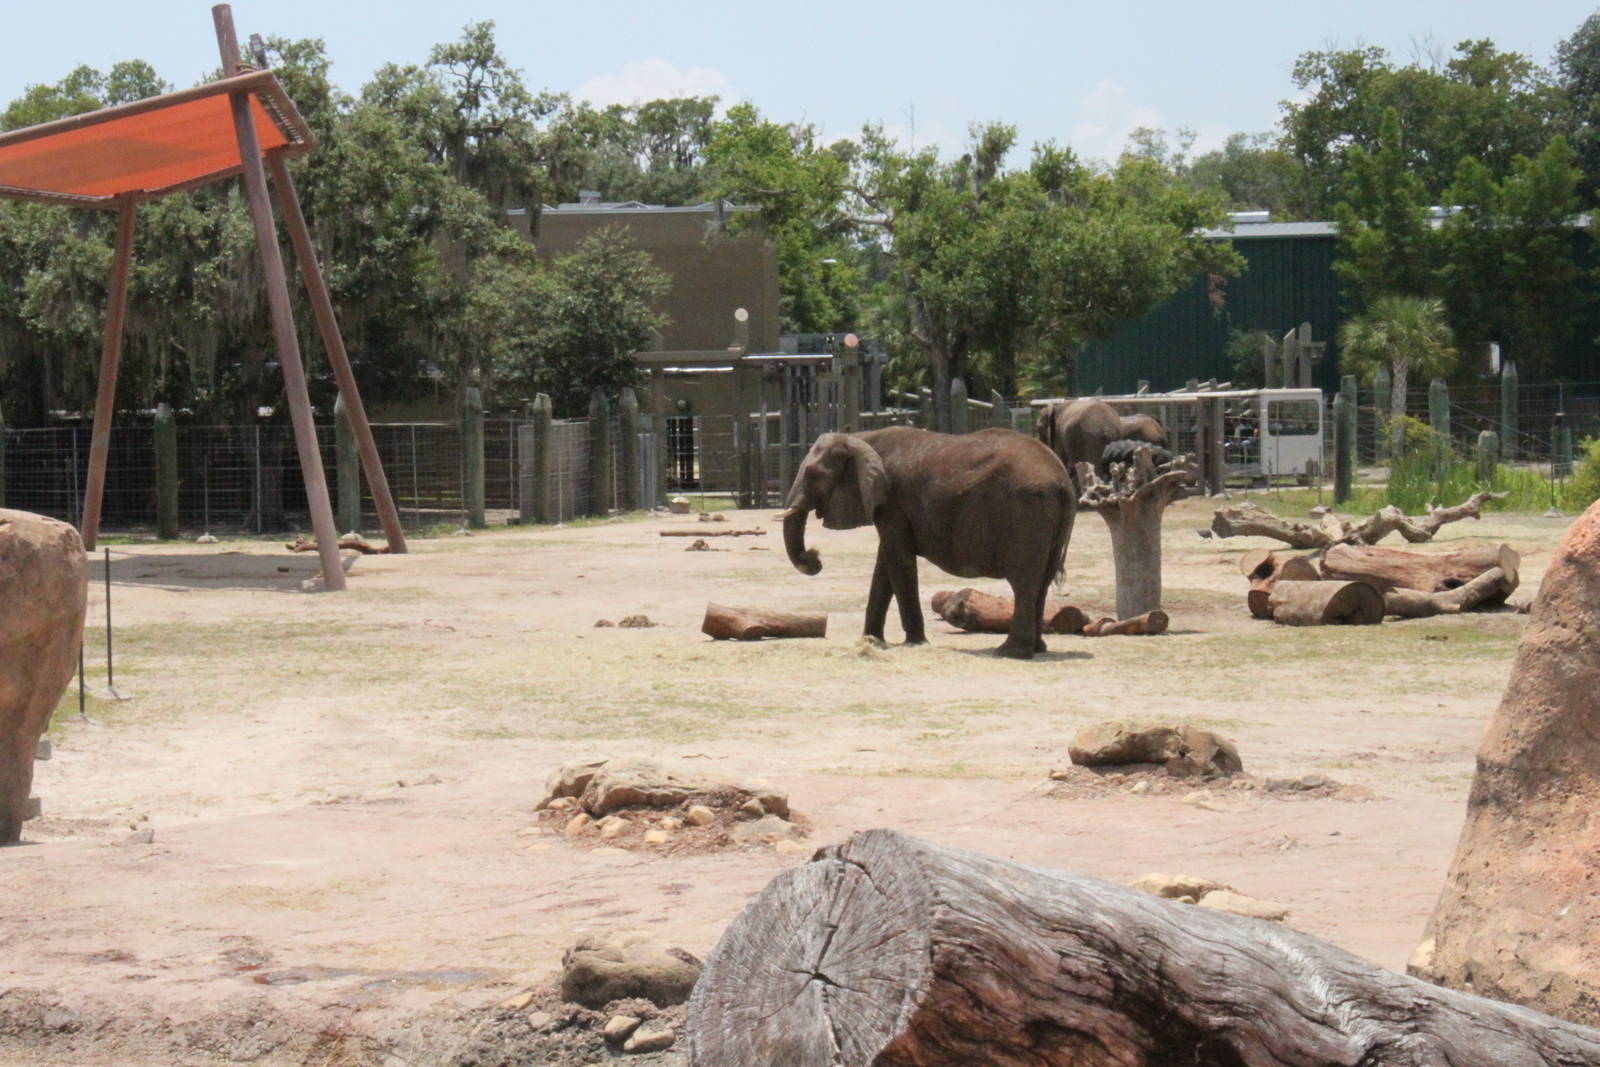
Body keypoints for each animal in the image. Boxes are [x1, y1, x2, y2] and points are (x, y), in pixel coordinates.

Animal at [780, 427, 1074, 659]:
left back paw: (1009, 652)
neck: (861, 437)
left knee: (1024, 581)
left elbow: (898, 560)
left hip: (1025, 511)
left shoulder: (893, 501)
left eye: (813, 474)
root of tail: (1063, 482)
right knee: (1042, 581)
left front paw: (915, 643)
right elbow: (885, 563)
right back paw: (1037, 649)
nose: (813, 556)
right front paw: (870, 641)